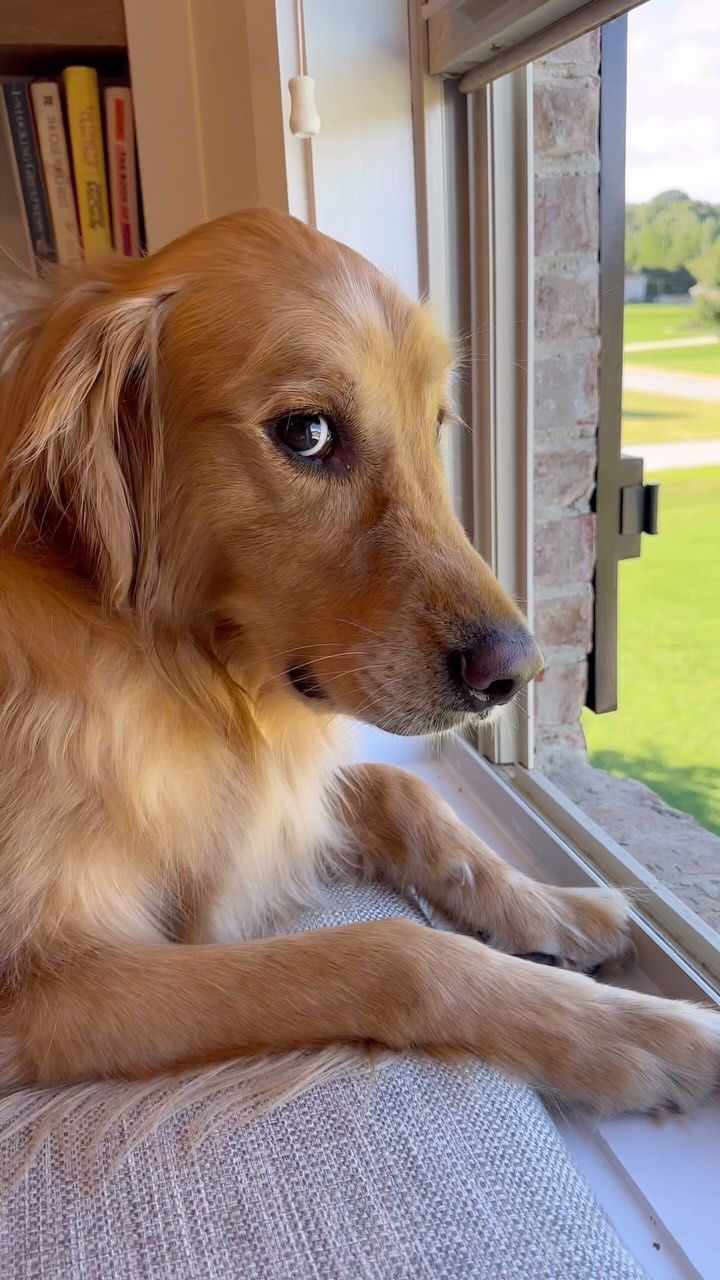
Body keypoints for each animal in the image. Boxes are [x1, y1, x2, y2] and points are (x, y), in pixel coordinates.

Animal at [0, 202, 712, 1121]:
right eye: (307, 433)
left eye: (435, 421)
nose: (516, 673)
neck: (184, 670)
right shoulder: (46, 990)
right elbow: (397, 954)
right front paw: (632, 1031)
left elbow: (400, 788)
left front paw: (550, 907)